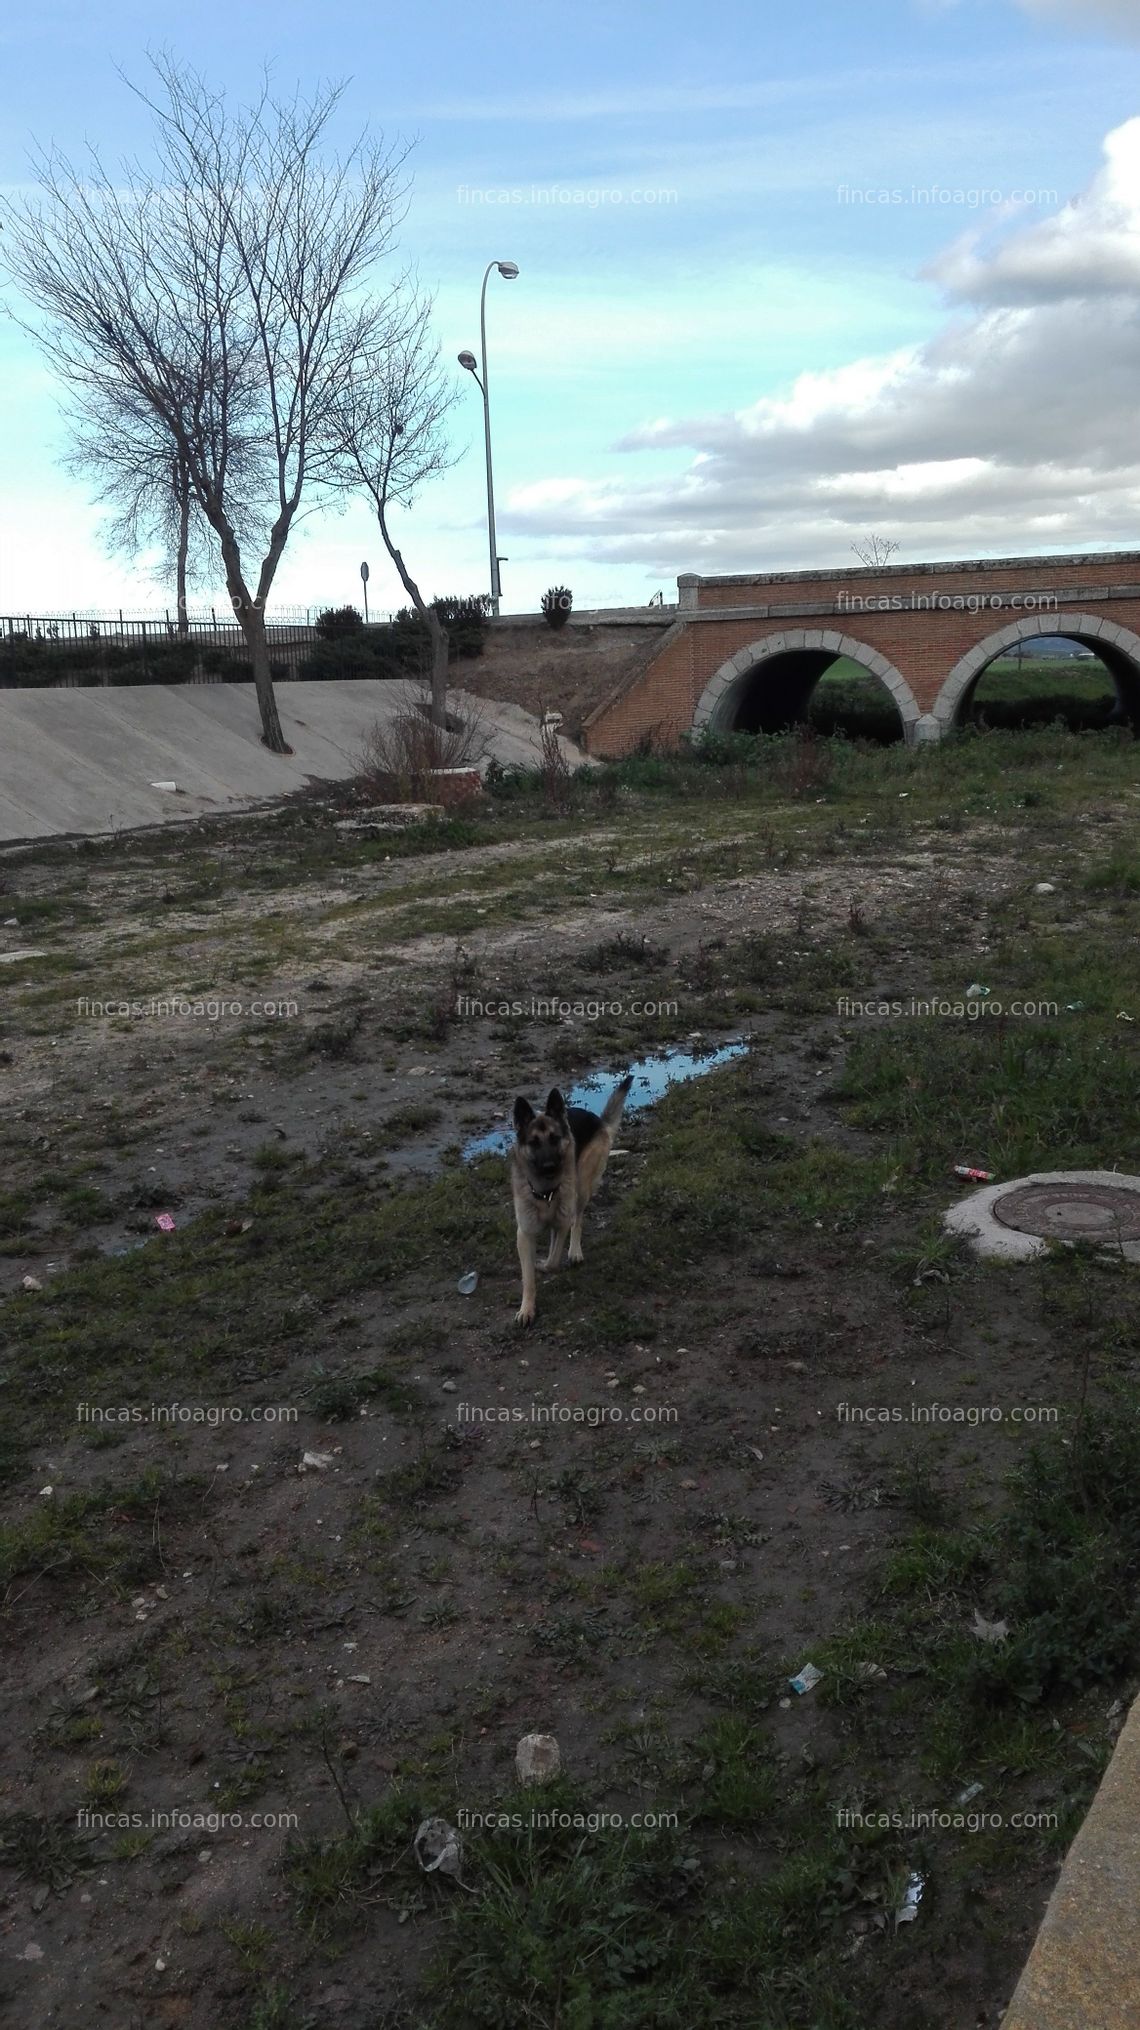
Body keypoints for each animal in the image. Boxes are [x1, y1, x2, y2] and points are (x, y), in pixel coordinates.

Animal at [513, 1079, 632, 1331]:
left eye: (554, 1138)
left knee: (578, 1220)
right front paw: (527, 1309)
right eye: (533, 1143)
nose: (549, 1167)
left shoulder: (562, 1222)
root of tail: (596, 1118)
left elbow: (553, 1261)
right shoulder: (525, 1233)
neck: (545, 1193)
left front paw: (545, 1264)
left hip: (582, 1188)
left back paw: (575, 1252)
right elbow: (528, 1278)